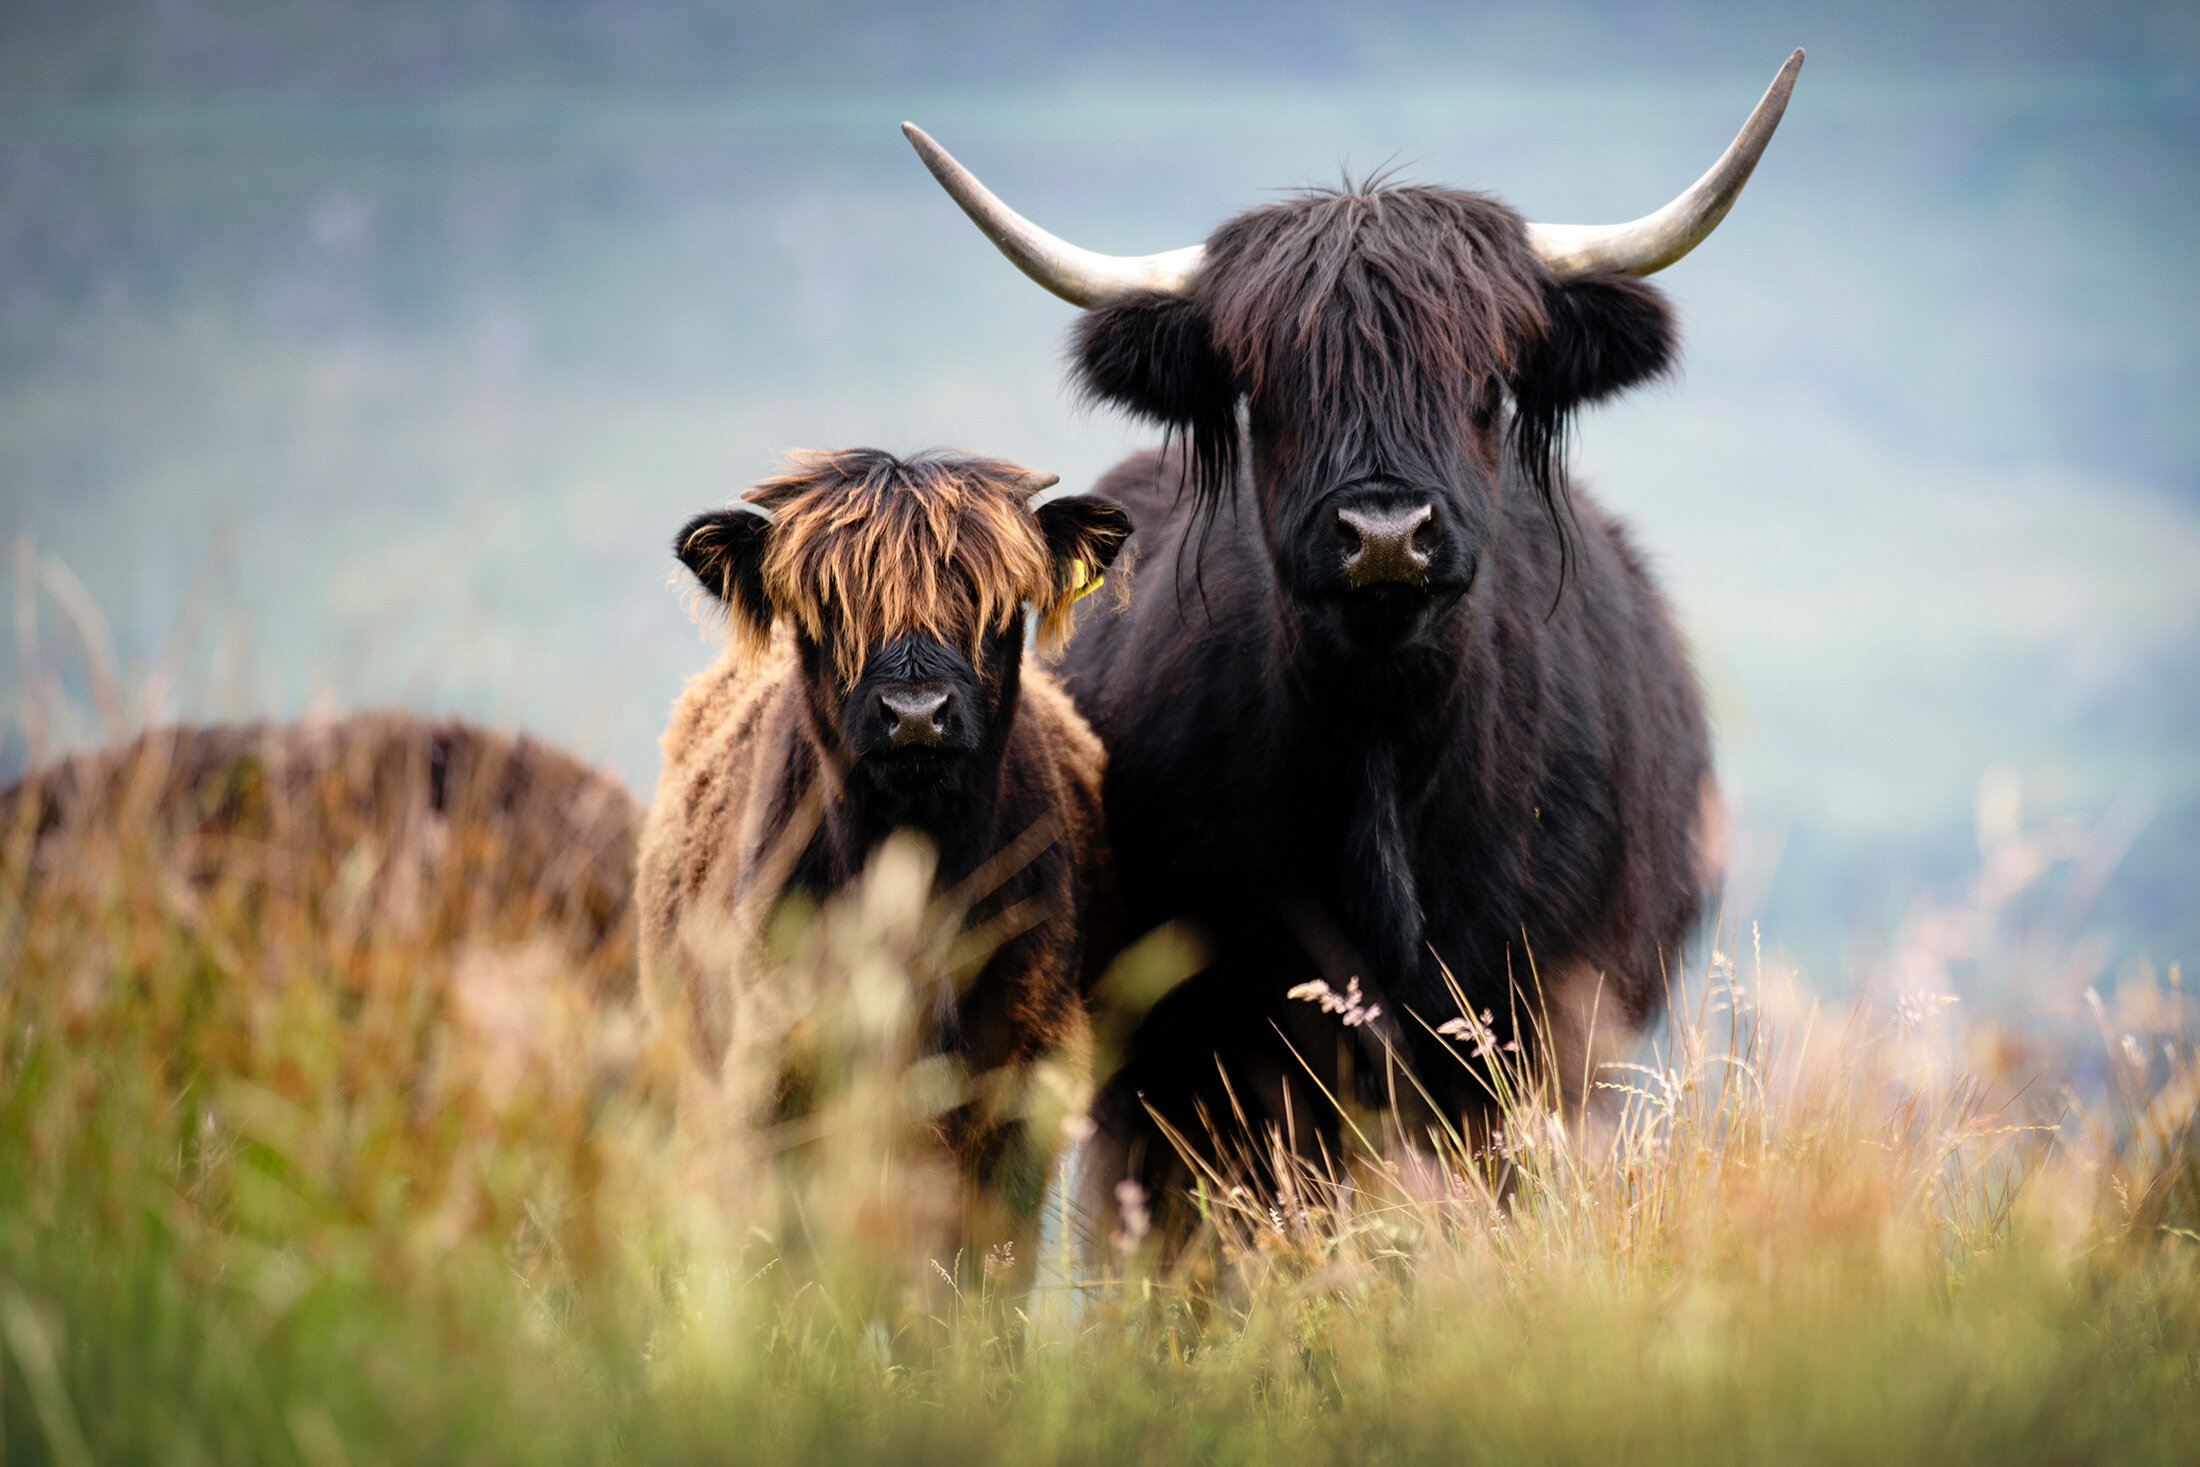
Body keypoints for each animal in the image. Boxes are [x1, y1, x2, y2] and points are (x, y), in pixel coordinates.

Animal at [902, 51, 1795, 1258]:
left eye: (1486, 383)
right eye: (1267, 392)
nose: (1382, 533)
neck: (1385, 765)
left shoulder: (1537, 1037)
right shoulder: (1219, 1055)